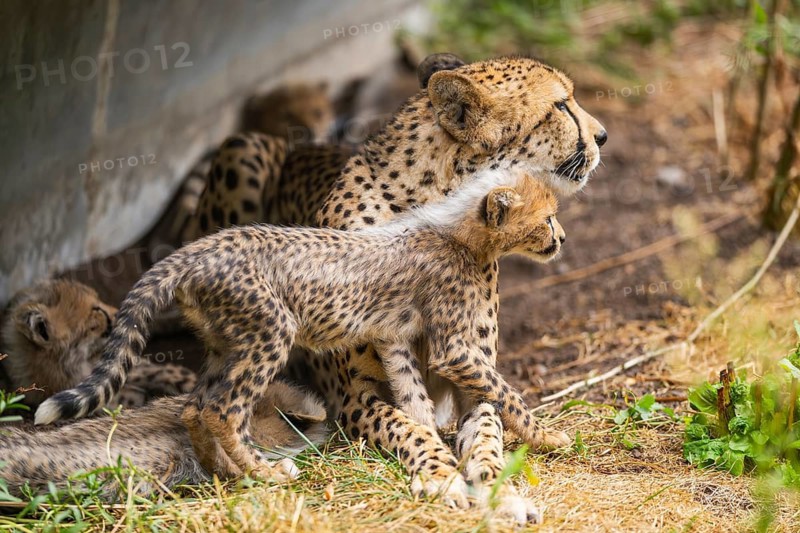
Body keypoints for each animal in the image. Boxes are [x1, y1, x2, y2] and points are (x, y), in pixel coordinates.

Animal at [35, 171, 569, 513]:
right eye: (546, 218)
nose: (561, 239)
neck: (461, 231)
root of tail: (196, 248)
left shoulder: (394, 336)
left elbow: (413, 399)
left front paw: (432, 448)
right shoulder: (452, 350)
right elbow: (505, 392)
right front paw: (549, 435)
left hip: (225, 344)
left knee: (193, 406)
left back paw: (227, 473)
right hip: (270, 334)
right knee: (222, 410)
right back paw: (265, 474)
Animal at [172, 53, 606, 523]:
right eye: (561, 105)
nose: (602, 135)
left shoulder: (474, 378)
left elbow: (491, 429)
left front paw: (499, 487)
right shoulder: (353, 396)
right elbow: (409, 427)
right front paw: (441, 474)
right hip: (242, 152)